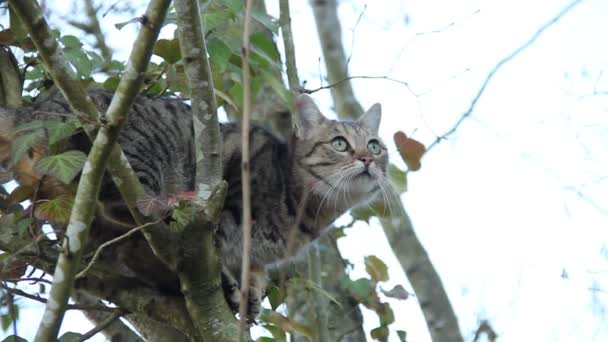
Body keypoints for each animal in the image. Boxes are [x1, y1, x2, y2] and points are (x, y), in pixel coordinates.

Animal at [0, 90, 388, 318]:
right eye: (340, 144)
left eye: (376, 145)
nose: (368, 159)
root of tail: (33, 107)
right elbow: (216, 249)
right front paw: (231, 283)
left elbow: (251, 267)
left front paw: (251, 288)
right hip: (134, 156)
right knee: (126, 204)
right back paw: (165, 214)